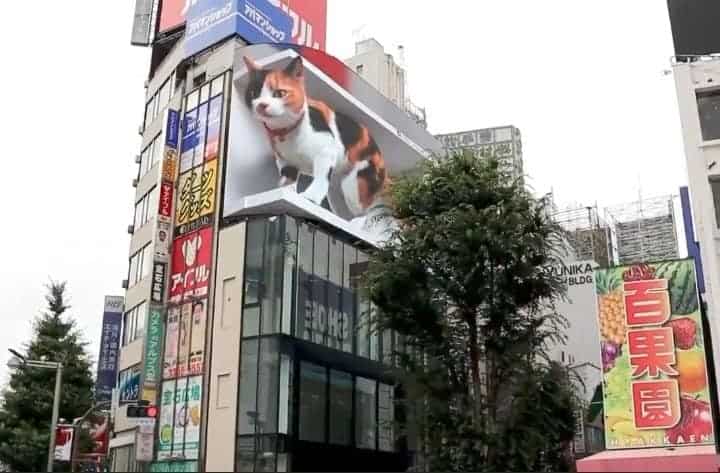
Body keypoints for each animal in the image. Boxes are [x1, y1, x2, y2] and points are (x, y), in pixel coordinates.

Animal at [242, 54, 388, 221]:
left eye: (279, 93)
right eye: (253, 93)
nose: (262, 105)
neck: (286, 133)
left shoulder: (326, 151)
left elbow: (321, 178)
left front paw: (310, 197)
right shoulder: (284, 161)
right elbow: (287, 181)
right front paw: (284, 197)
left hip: (355, 185)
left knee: (366, 211)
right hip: (338, 188)